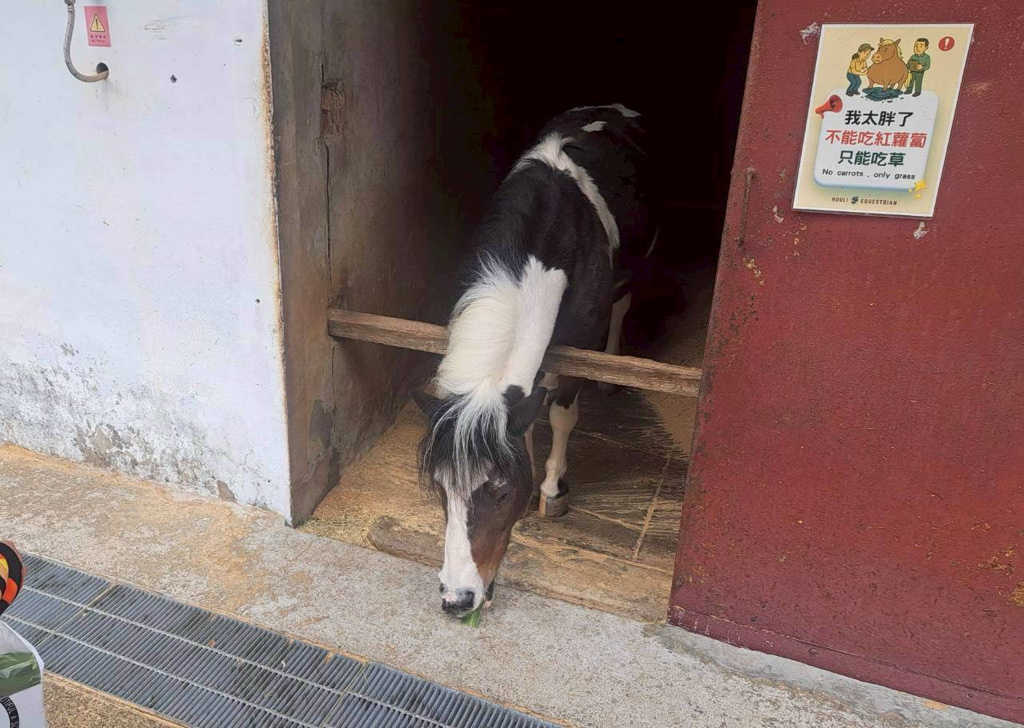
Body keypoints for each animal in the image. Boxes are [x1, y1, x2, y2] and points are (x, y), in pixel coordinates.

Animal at [412, 104, 661, 617]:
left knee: (624, 303)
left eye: (500, 491)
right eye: (442, 488)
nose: (457, 599)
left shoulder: (576, 355)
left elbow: (562, 414)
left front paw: (550, 491)